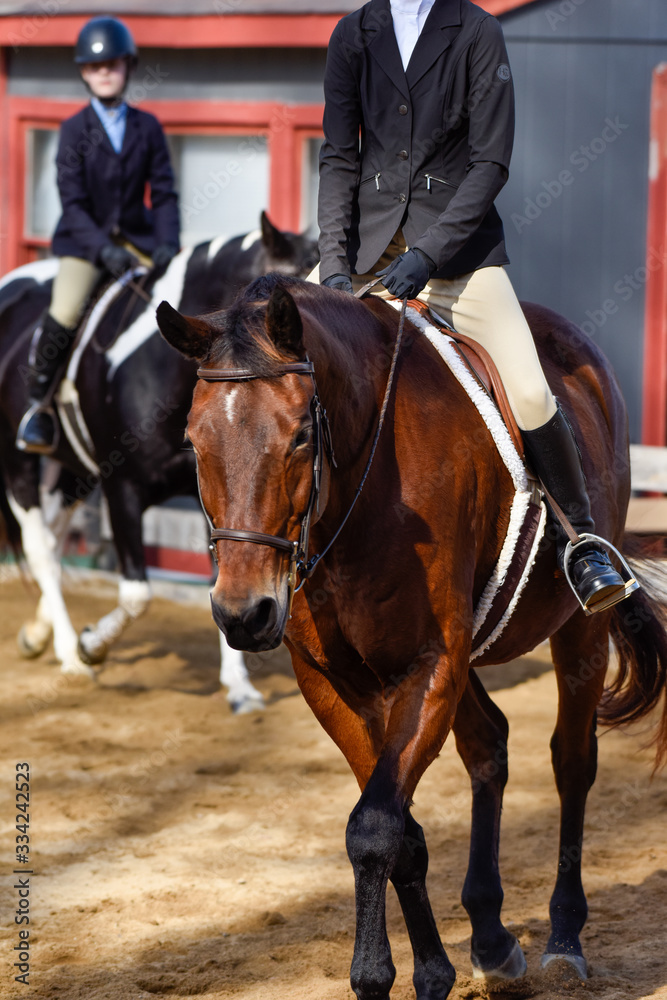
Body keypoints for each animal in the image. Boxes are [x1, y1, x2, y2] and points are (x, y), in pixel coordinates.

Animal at [0, 213, 318, 712]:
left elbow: (225, 579)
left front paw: (240, 686)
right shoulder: (122, 488)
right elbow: (137, 594)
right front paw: (91, 646)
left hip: (73, 471)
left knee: (51, 537)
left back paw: (37, 634)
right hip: (19, 461)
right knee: (39, 546)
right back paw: (70, 653)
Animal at [158, 270, 667, 996]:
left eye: (299, 438)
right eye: (195, 442)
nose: (243, 613)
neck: (363, 490)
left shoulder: (429, 664)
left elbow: (375, 826)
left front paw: (376, 975)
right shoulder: (332, 681)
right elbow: (401, 830)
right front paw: (433, 969)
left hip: (577, 631)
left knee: (571, 760)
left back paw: (564, 938)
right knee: (488, 744)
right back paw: (489, 935)